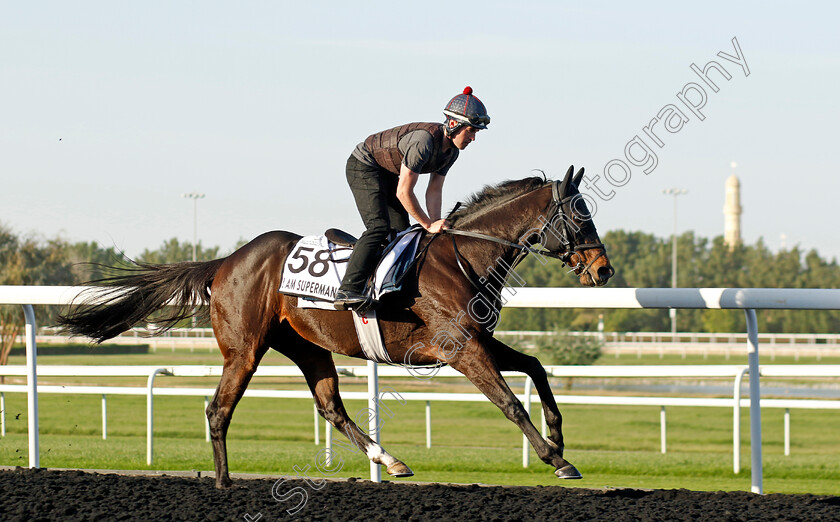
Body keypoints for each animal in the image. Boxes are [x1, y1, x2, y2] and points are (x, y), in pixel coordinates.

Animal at [57, 165, 612, 486]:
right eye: (578, 214)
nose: (603, 270)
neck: (462, 256)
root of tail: (226, 261)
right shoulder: (459, 349)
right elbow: (510, 402)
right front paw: (555, 457)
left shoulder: (478, 340)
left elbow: (536, 366)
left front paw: (559, 435)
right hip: (245, 350)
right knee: (218, 410)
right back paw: (224, 485)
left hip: (308, 346)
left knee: (330, 407)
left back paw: (391, 461)